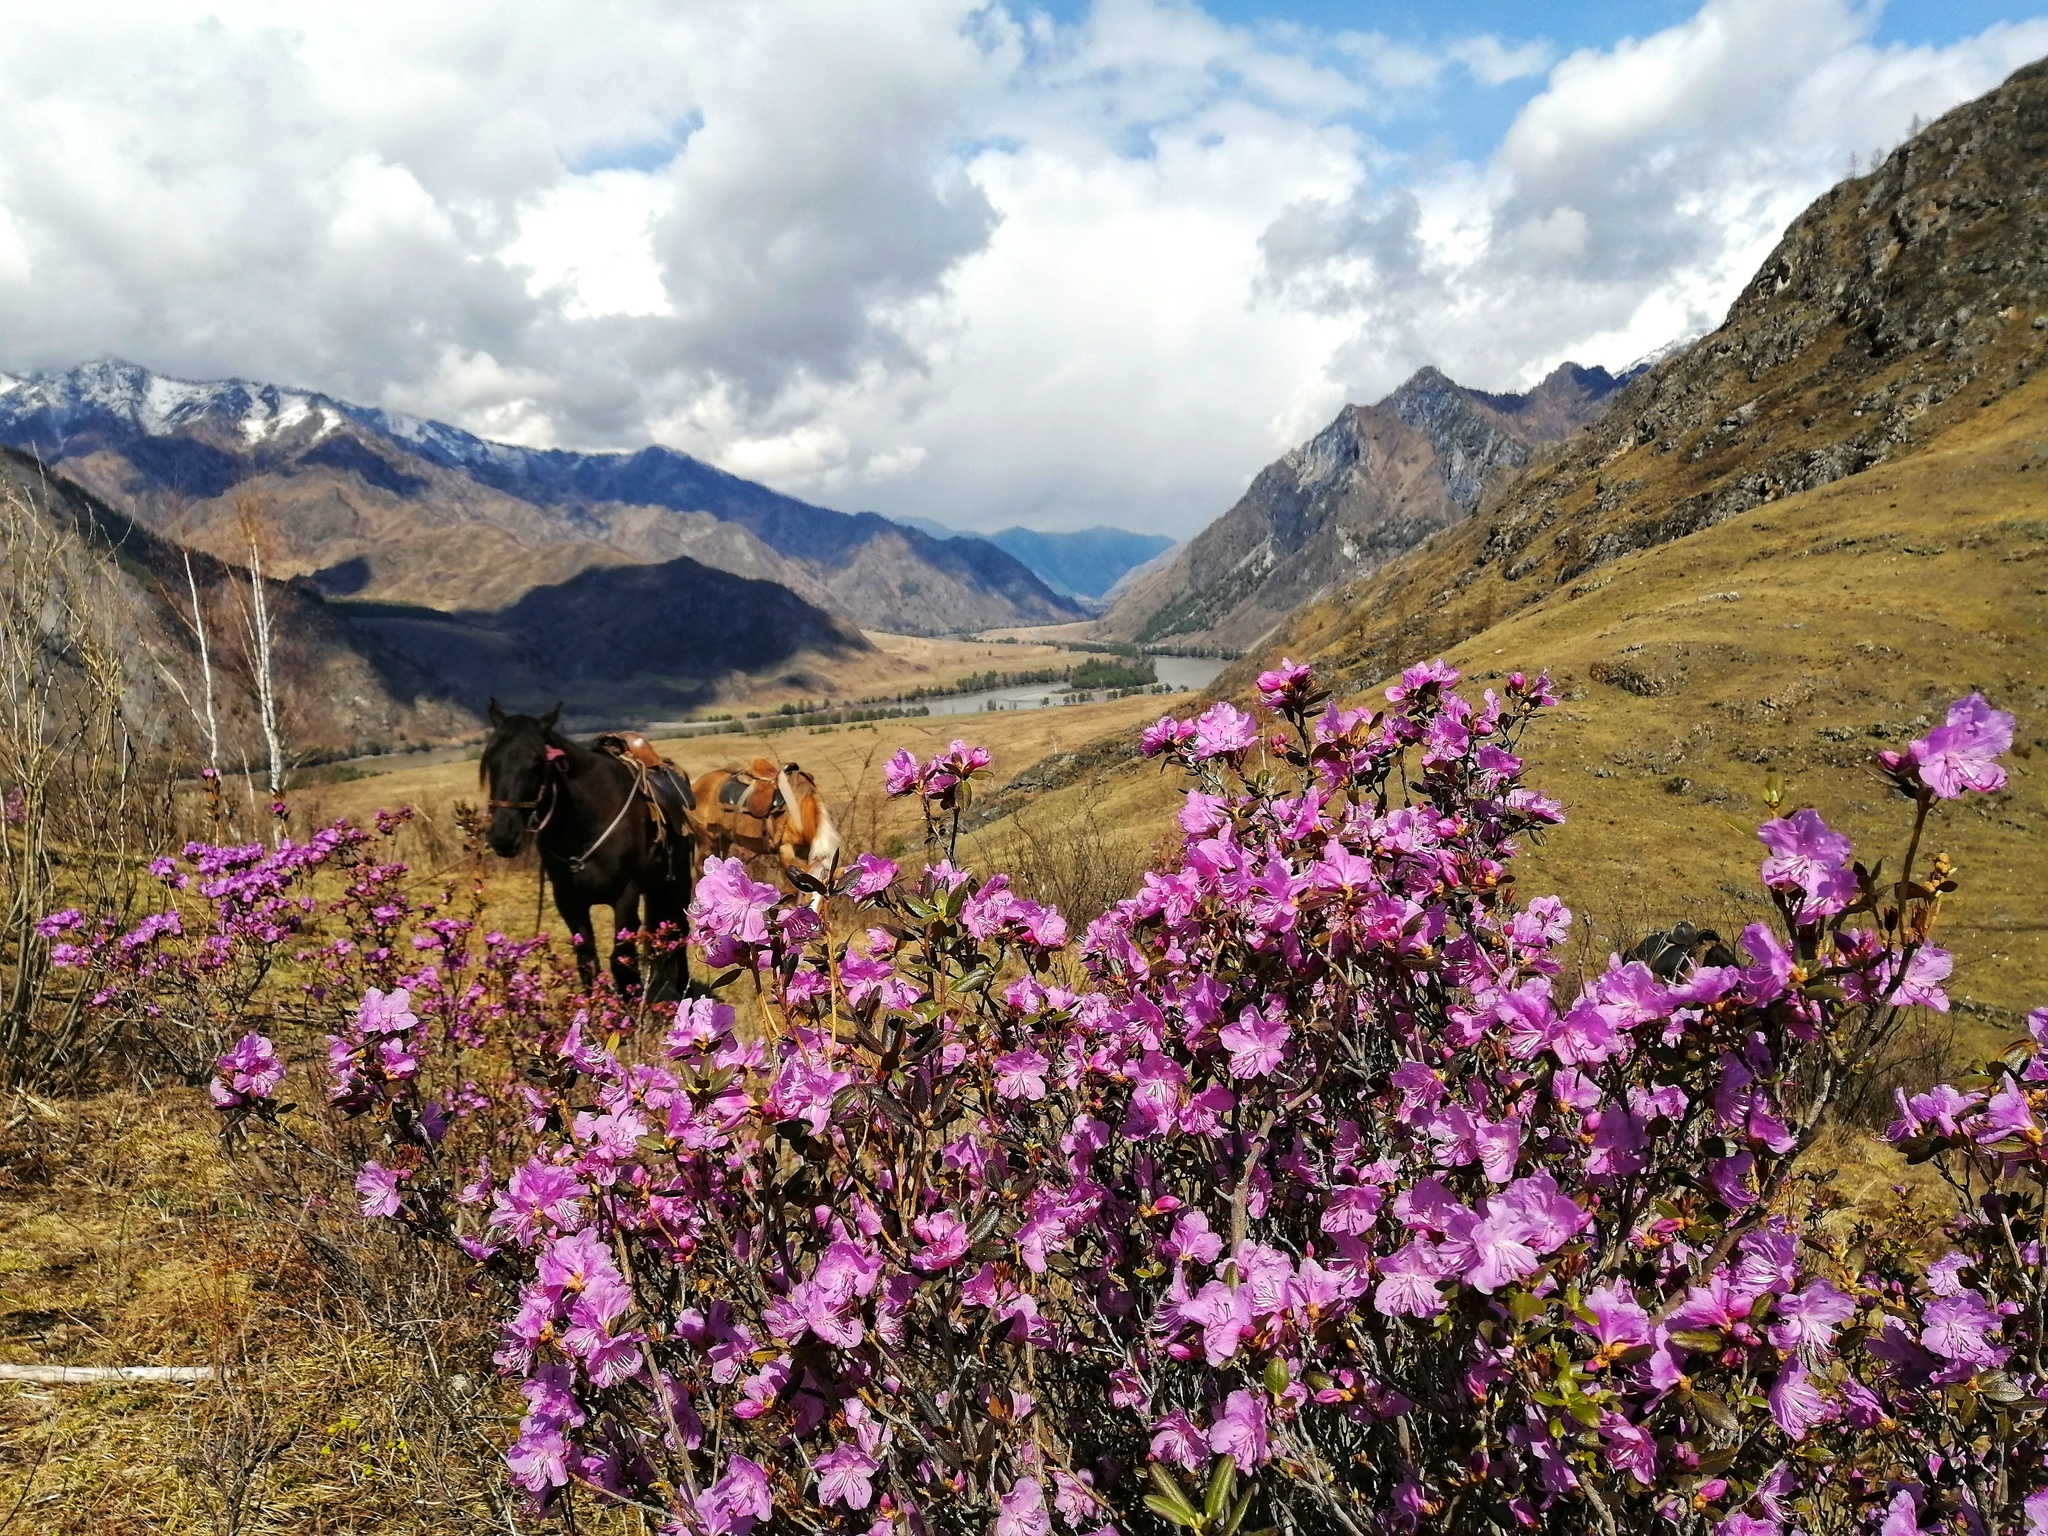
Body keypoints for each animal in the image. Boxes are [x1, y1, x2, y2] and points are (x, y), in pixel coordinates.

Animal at [477, 708, 696, 1003]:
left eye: (537, 764)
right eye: (492, 763)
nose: (503, 834)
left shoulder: (625, 895)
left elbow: (622, 960)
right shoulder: (568, 900)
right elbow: (587, 962)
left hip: (677, 882)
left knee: (679, 933)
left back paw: (684, 993)